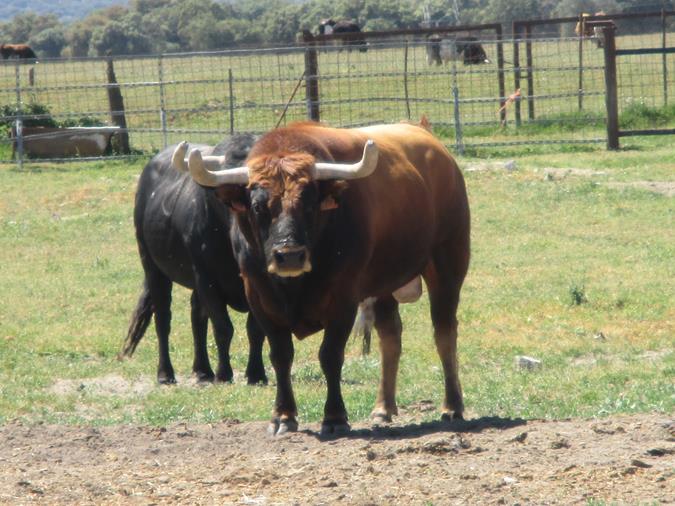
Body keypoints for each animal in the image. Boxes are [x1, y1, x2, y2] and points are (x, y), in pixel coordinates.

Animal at [121, 132, 270, 386]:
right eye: (228, 195)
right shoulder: (206, 279)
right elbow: (222, 327)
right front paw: (224, 374)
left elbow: (255, 329)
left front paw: (256, 374)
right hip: (153, 267)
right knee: (163, 319)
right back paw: (165, 374)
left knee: (196, 316)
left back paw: (202, 371)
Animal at [174, 118, 470, 434]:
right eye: (257, 206)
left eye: (309, 203)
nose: (289, 255)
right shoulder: (260, 299)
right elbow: (281, 356)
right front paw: (283, 416)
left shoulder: (343, 301)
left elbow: (330, 355)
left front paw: (335, 417)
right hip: (383, 284)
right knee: (390, 337)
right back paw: (383, 408)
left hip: (447, 264)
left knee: (444, 332)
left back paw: (452, 406)